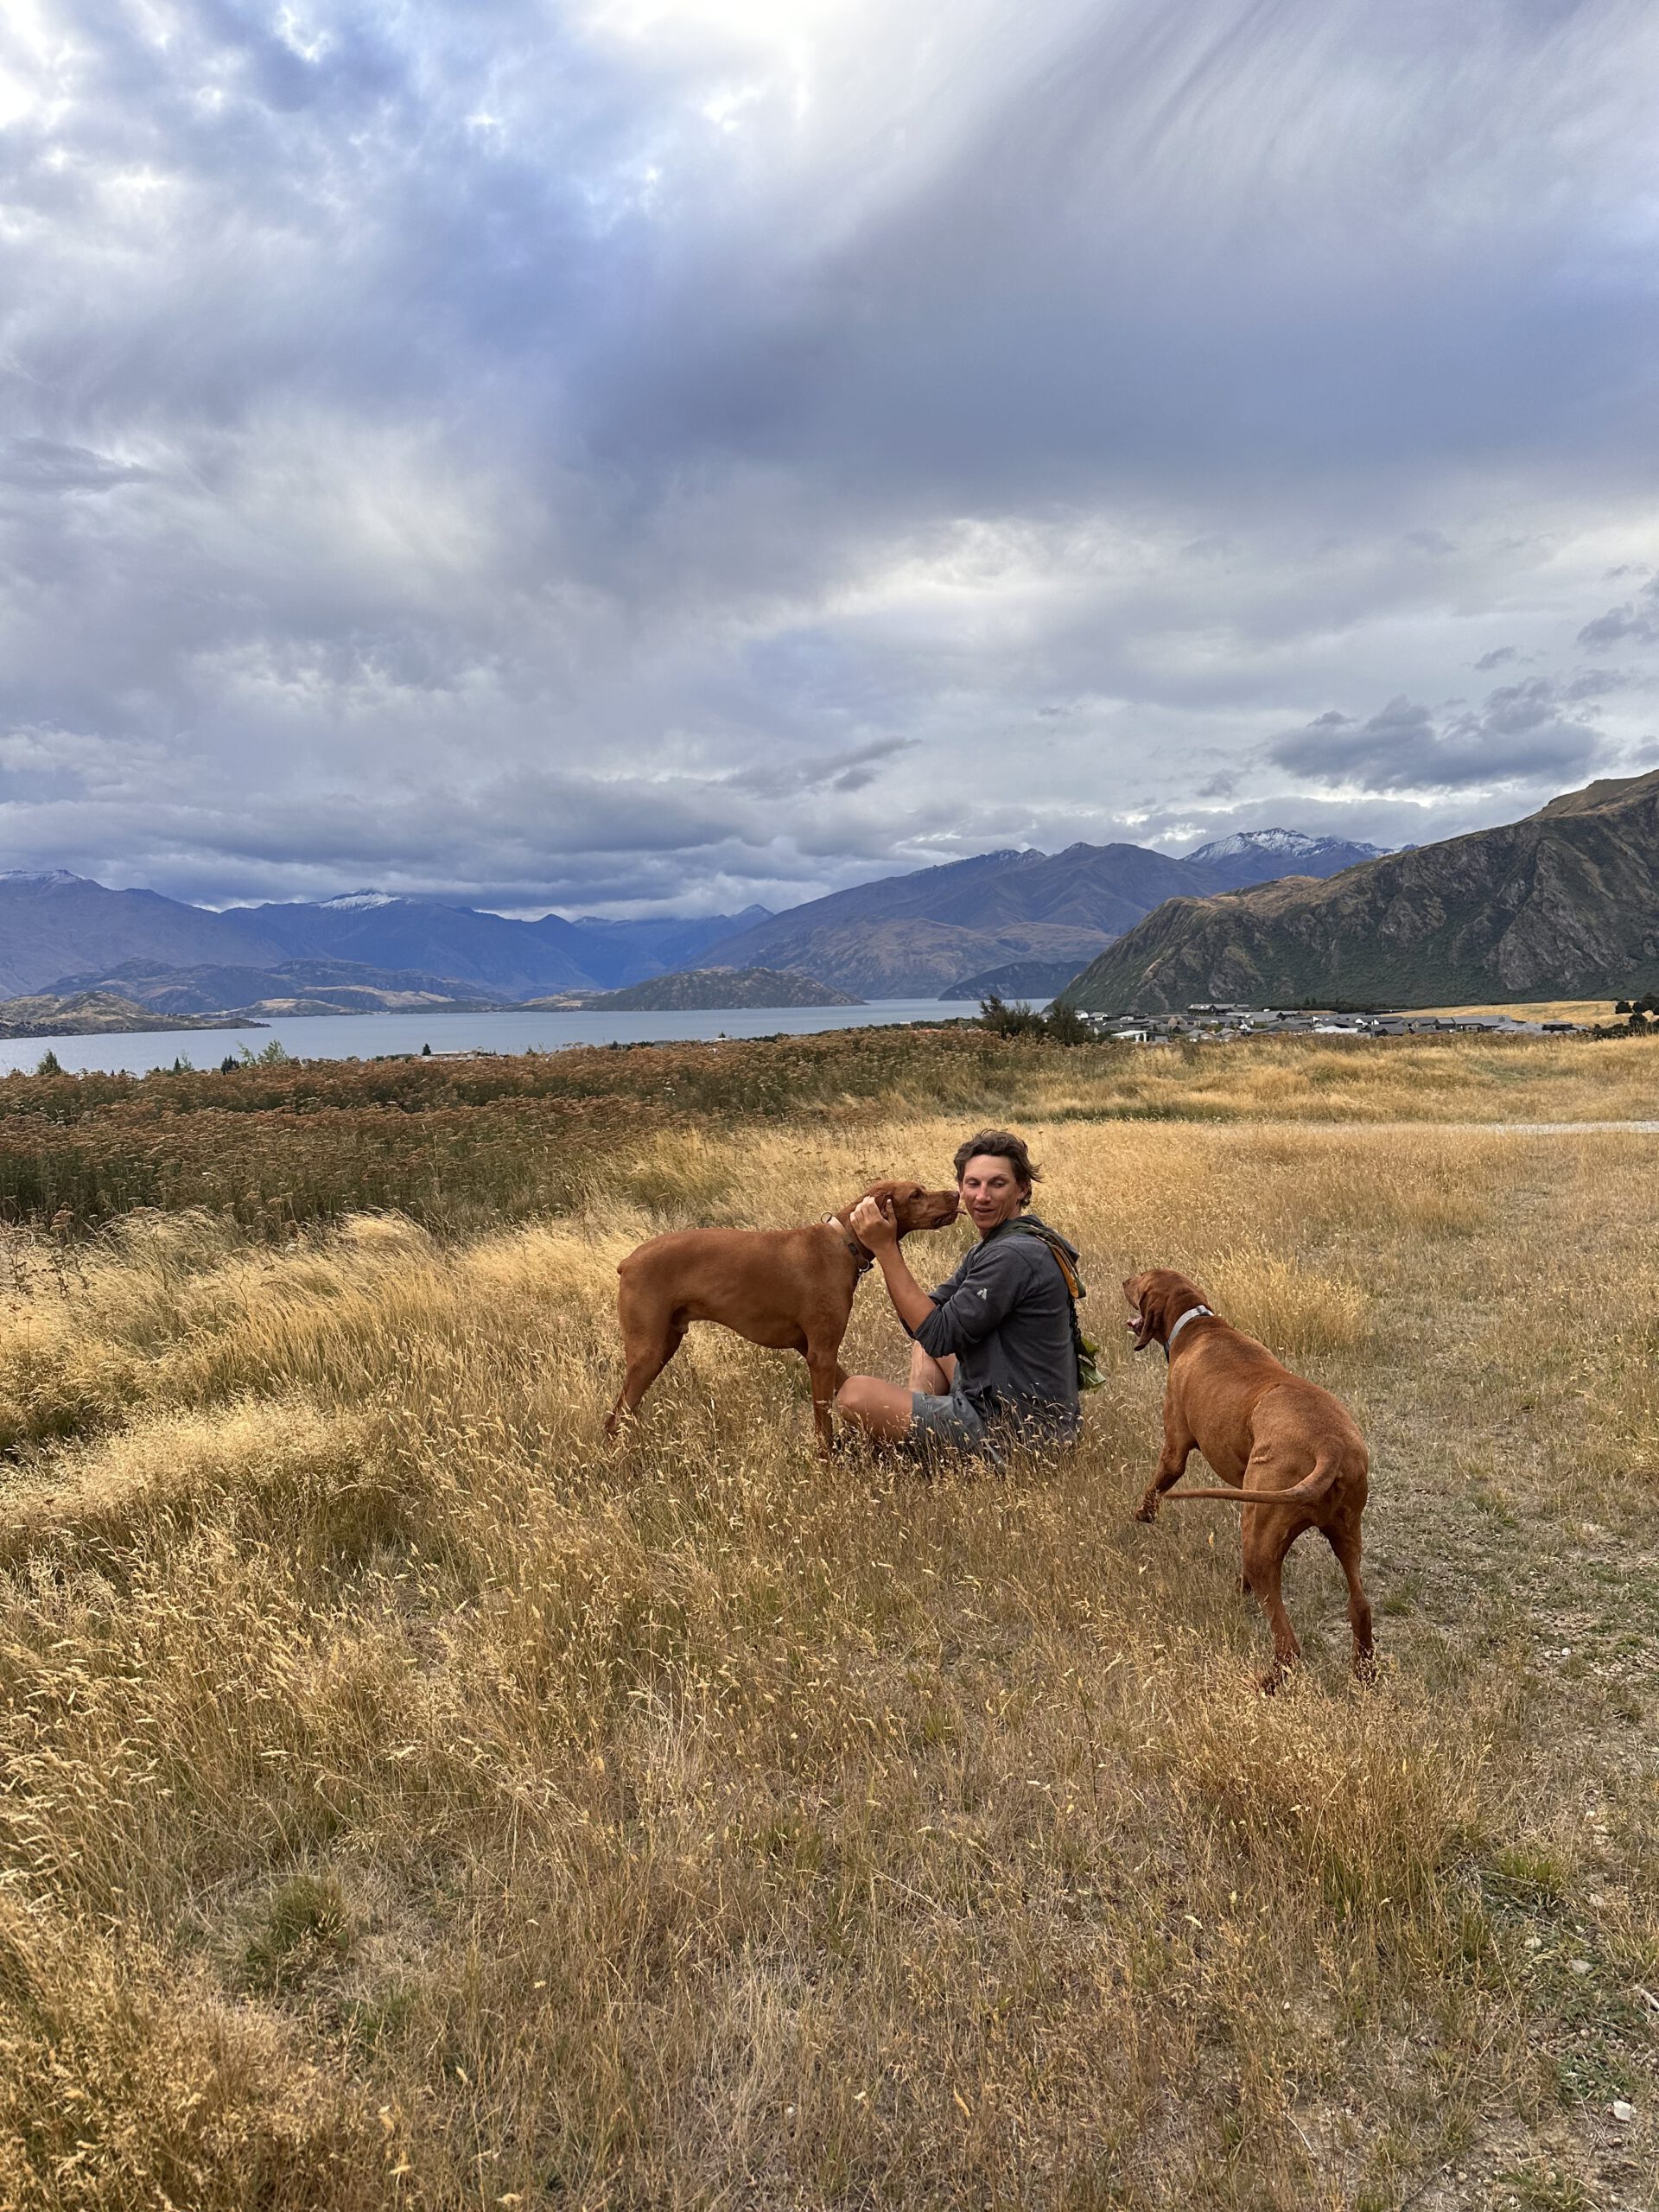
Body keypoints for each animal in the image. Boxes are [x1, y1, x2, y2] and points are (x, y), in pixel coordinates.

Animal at [610, 1185, 960, 1459]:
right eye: (915, 1194)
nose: (955, 1194)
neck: (841, 1244)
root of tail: (627, 1262)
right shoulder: (821, 1355)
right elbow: (823, 1421)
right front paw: (827, 1462)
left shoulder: (812, 1349)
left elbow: (845, 1386)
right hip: (649, 1355)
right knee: (614, 1419)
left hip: (665, 1344)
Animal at [1132, 1265, 1380, 1689]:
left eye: (1141, 1279)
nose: (1123, 1281)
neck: (1196, 1323)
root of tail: (1329, 1446)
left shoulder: (1174, 1451)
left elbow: (1155, 1487)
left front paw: (1141, 1518)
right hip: (1345, 1531)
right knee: (1360, 1605)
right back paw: (1365, 1672)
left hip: (1259, 1534)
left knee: (1288, 1642)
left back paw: (1265, 1683)